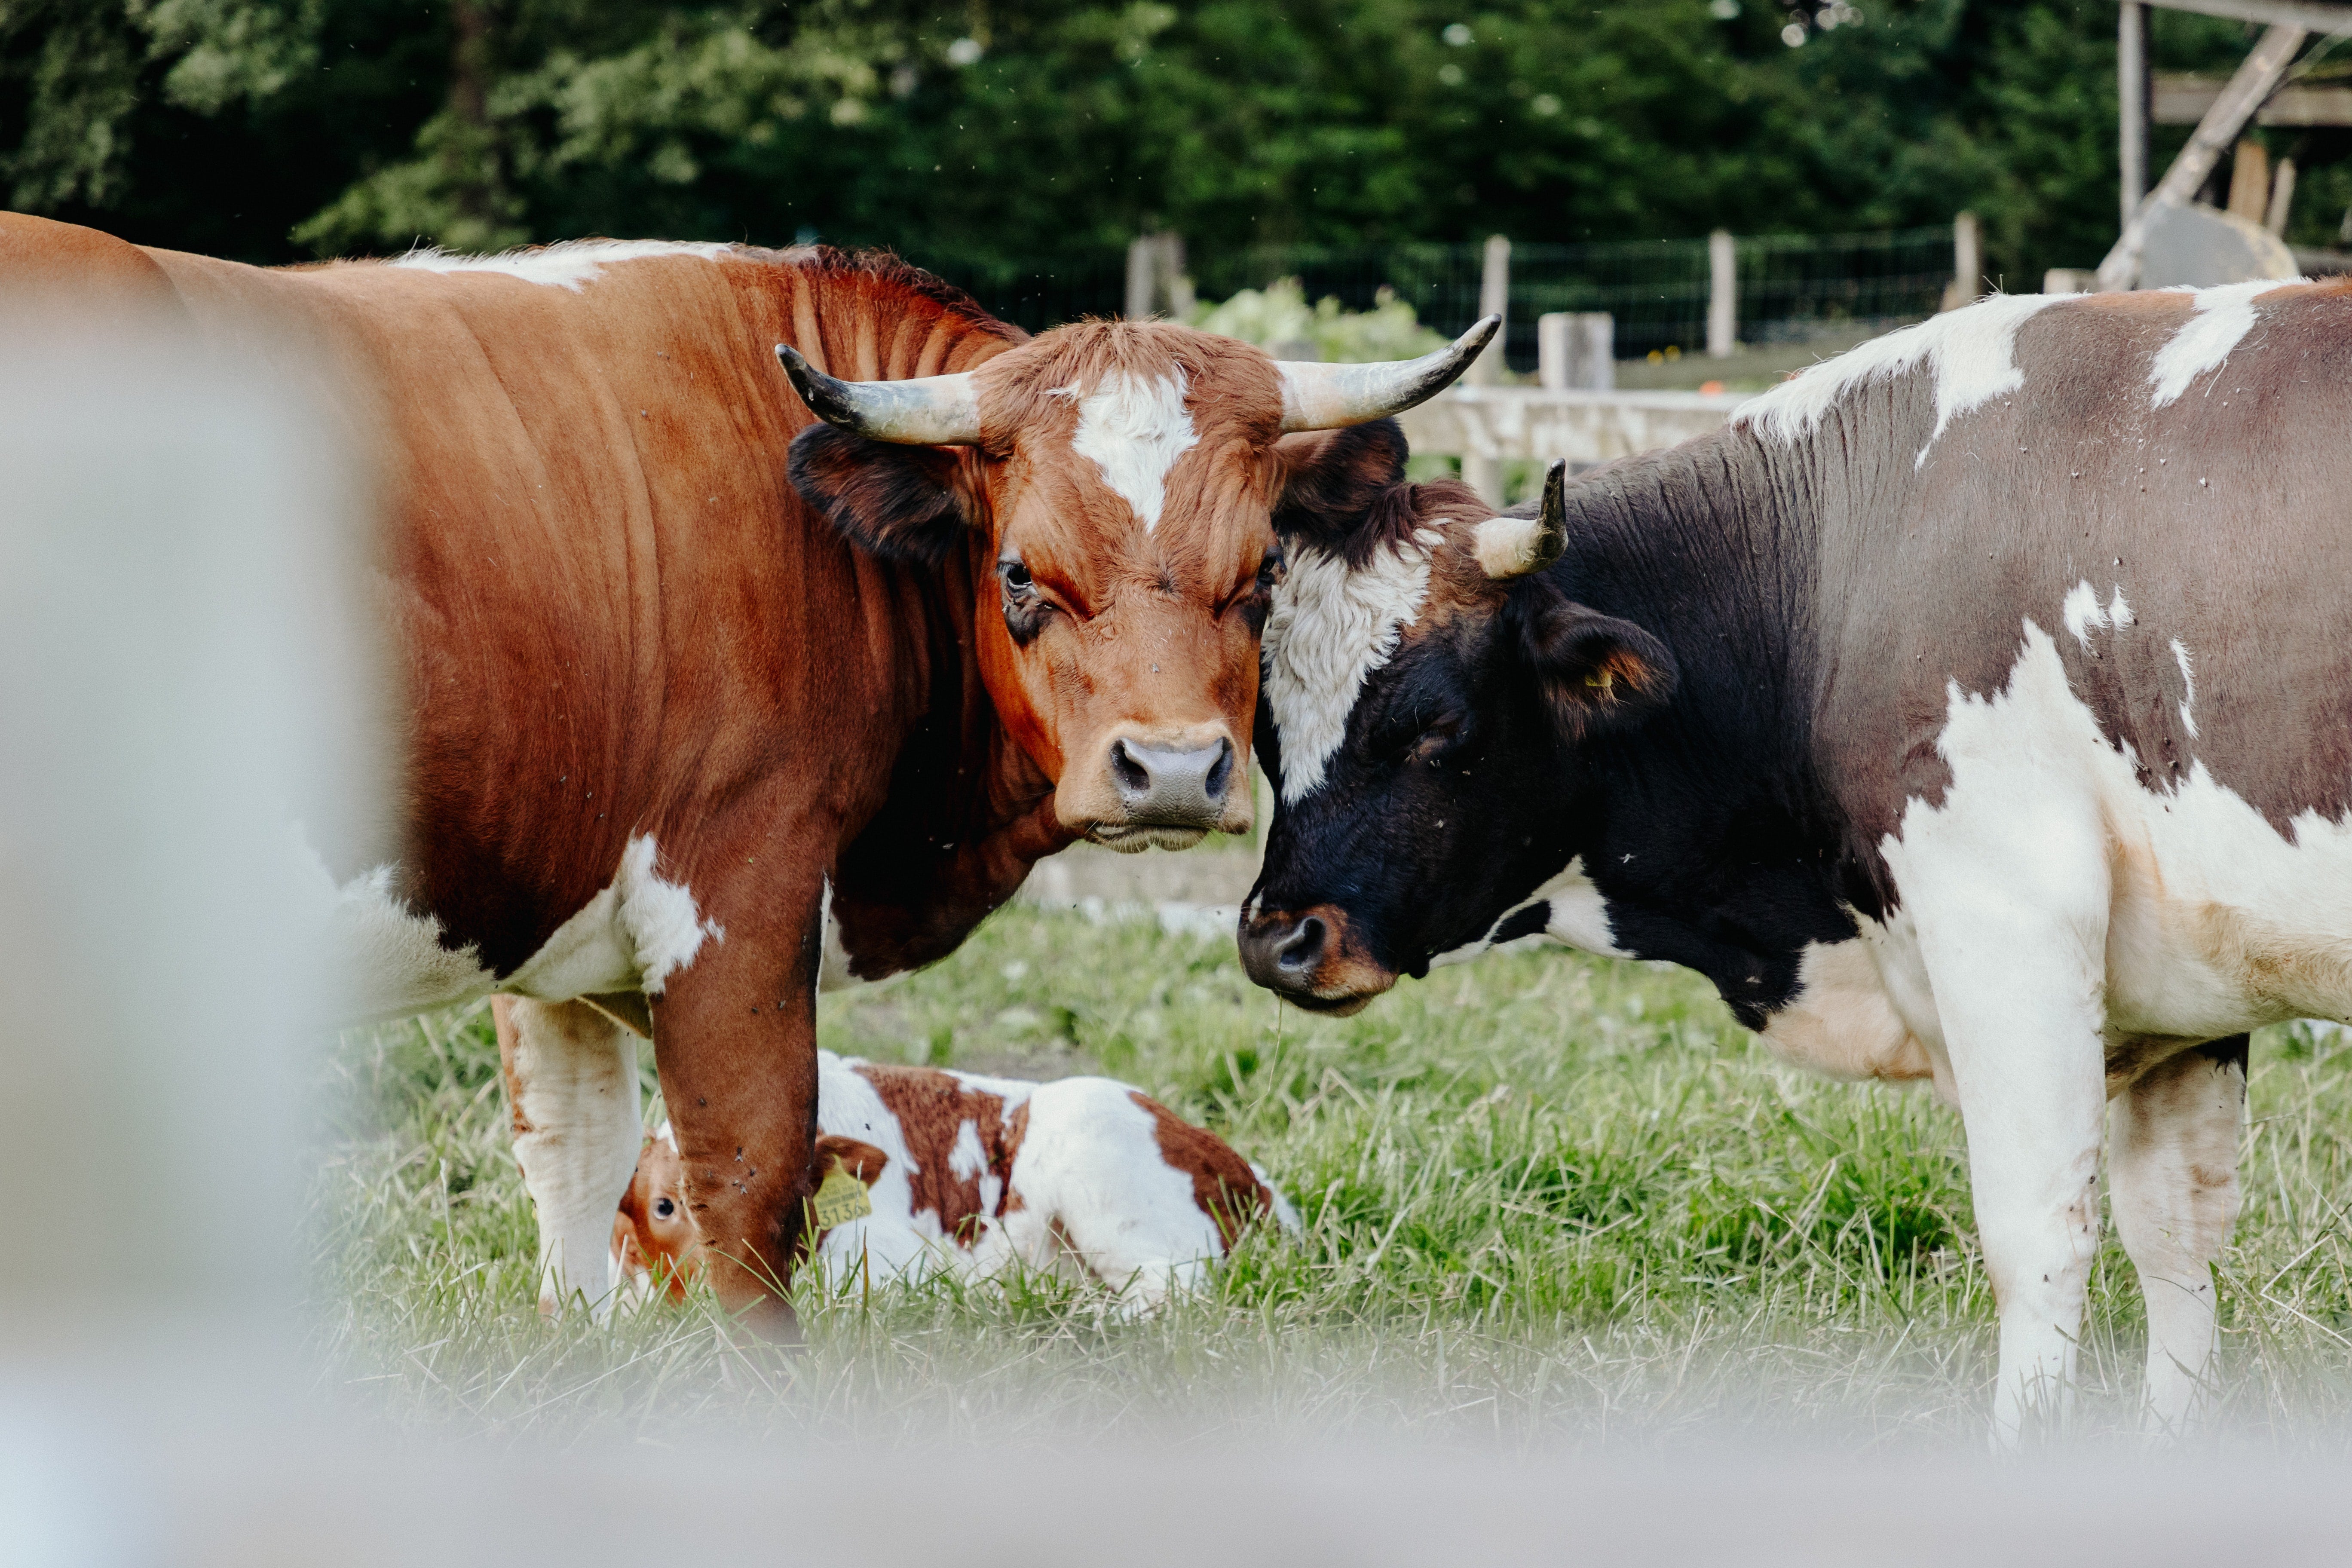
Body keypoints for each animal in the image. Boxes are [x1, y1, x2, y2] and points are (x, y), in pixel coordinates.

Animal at [1232, 276, 2352, 1439]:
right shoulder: (2184, 993)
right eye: (1266, 726)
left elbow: (2035, 1238)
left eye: (1437, 725)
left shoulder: (2009, 929)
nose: (1279, 940)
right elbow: (2176, 1237)